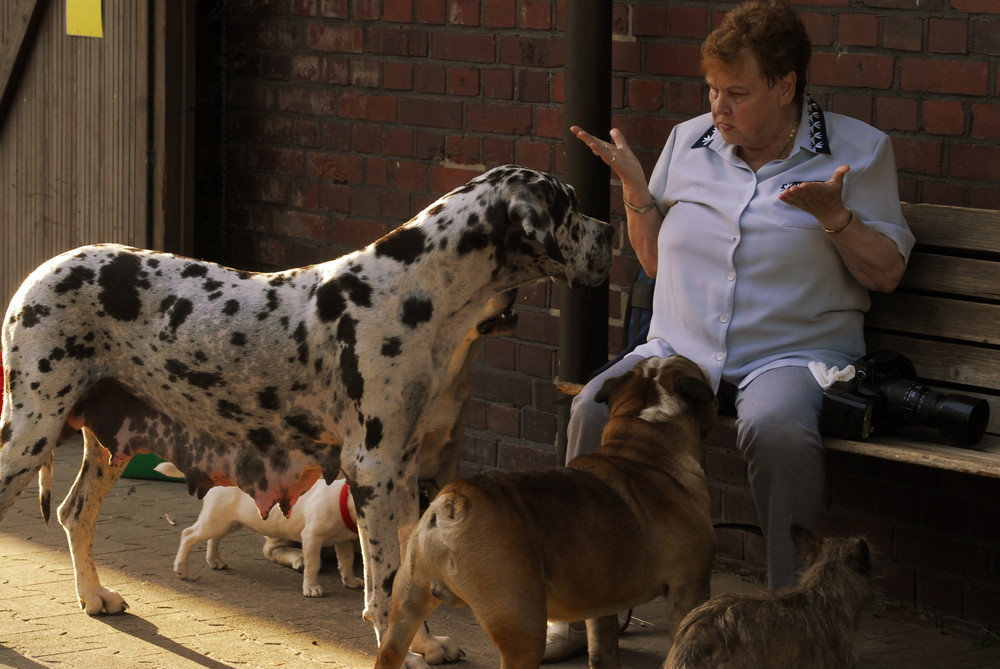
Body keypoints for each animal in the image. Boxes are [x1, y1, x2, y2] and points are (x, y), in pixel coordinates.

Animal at [170, 472, 362, 596]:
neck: (344, 500)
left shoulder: (343, 541)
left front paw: (350, 581)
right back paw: (181, 569)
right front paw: (312, 588)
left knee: (214, 538)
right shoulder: (311, 537)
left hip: (226, 522)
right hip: (215, 520)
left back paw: (215, 561)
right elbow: (313, 564)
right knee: (188, 535)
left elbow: (346, 561)